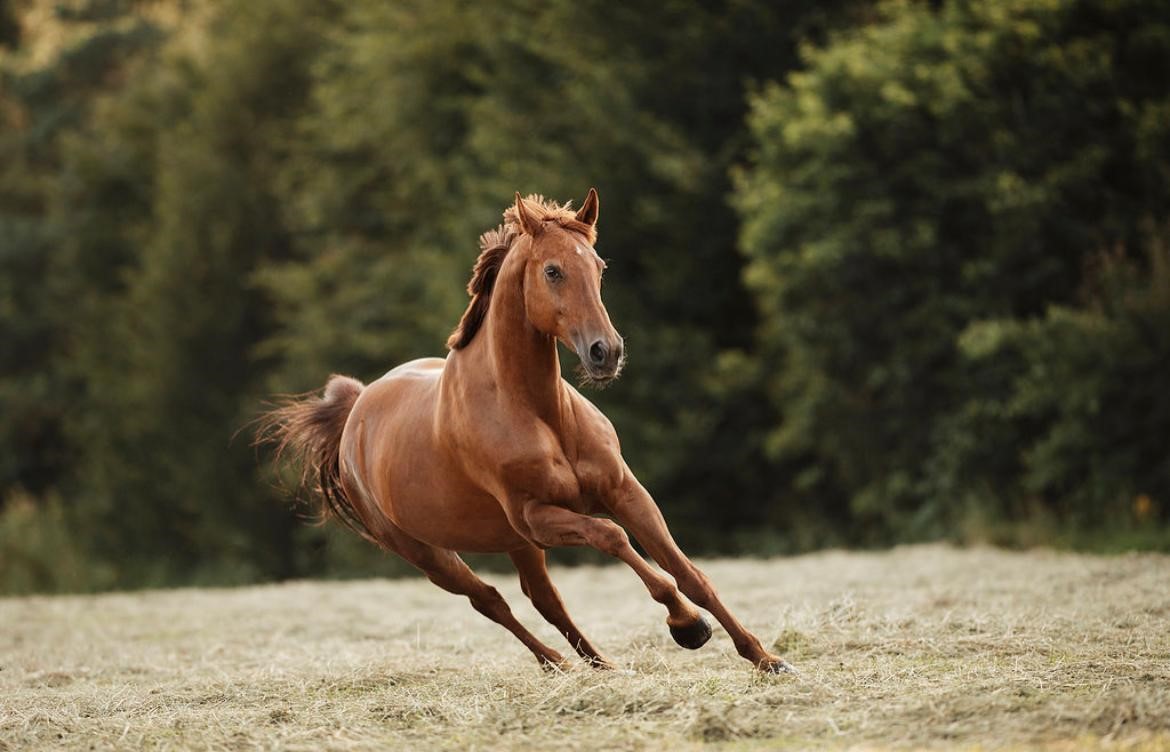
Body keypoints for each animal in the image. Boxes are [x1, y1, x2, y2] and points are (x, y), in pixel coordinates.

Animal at [263, 191, 795, 673]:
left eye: (599, 266)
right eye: (552, 271)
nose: (606, 353)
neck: (539, 412)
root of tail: (357, 409)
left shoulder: (624, 492)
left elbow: (689, 573)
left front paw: (765, 658)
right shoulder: (537, 517)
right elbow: (616, 539)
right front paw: (688, 627)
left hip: (514, 544)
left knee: (543, 599)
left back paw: (602, 667)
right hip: (430, 554)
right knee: (491, 601)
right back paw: (557, 663)